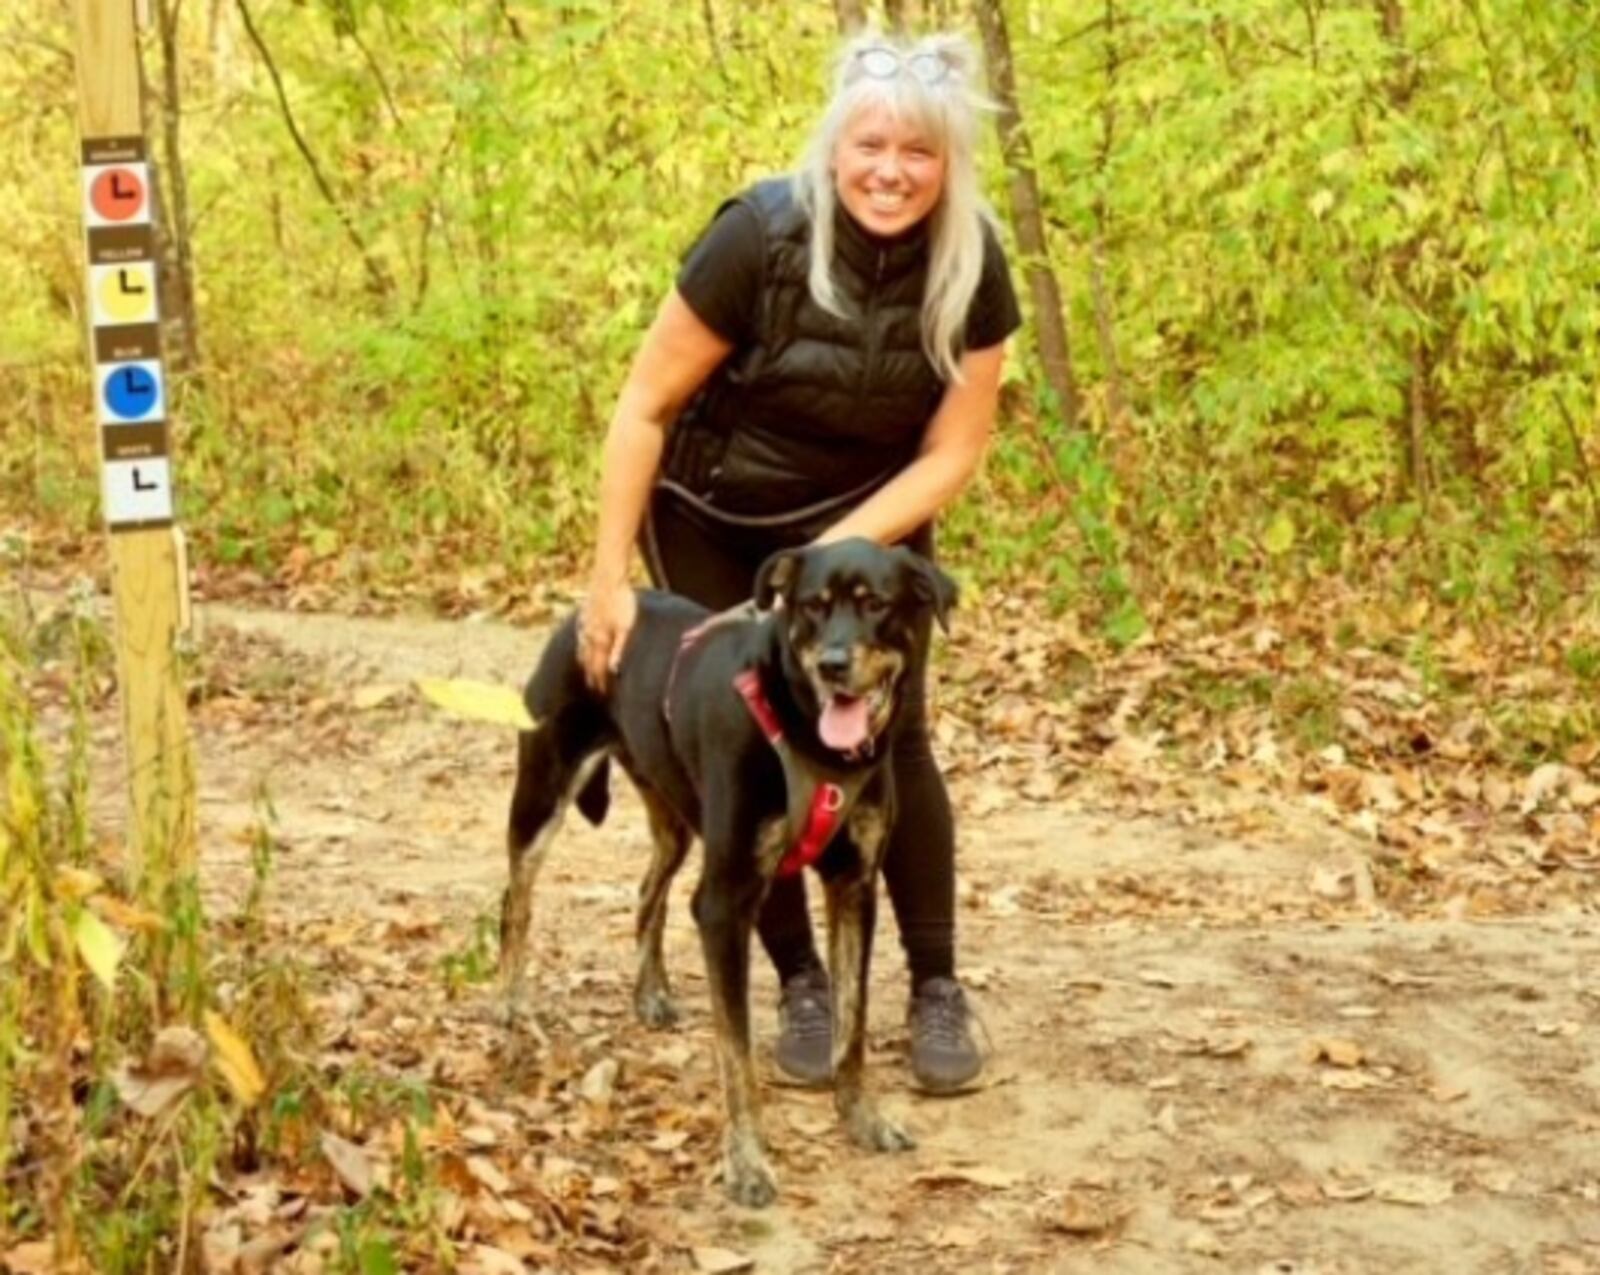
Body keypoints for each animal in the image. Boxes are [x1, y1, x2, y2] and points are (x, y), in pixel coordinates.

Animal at [499, 534, 947, 1203]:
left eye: (876, 605)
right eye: (812, 606)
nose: (833, 665)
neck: (805, 733)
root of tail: (580, 613)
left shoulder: (854, 887)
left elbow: (853, 1026)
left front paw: (862, 1118)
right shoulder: (726, 901)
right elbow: (736, 1056)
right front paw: (747, 1164)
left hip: (675, 818)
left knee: (648, 890)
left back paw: (651, 993)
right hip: (544, 791)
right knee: (516, 897)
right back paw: (507, 1002)